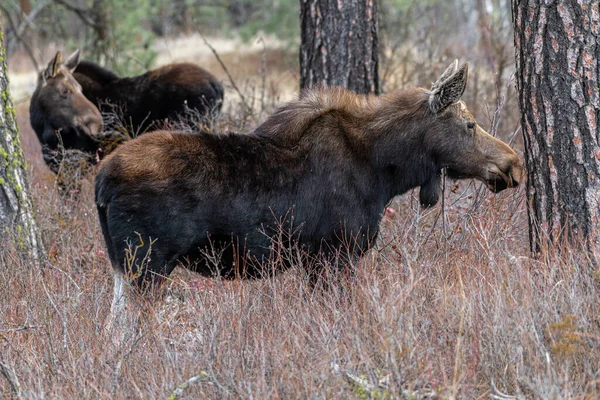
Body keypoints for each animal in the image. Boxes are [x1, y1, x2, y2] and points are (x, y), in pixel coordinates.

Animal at [97, 61, 520, 314]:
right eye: (469, 125)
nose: (513, 165)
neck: (386, 171)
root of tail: (100, 183)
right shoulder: (334, 253)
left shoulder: (319, 259)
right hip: (146, 265)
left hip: (124, 268)